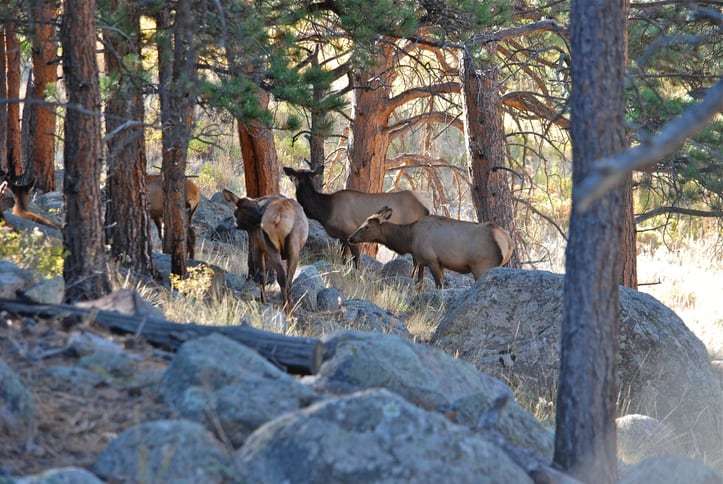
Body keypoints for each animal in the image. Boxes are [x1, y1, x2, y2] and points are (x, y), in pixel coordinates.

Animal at [282, 164, 430, 266]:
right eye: (296, 176)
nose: (292, 179)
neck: (325, 211)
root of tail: (426, 209)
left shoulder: (350, 232)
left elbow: (356, 261)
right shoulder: (342, 238)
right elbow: (343, 258)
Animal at [350, 207, 516, 288]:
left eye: (366, 226)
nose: (350, 238)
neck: (409, 240)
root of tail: (508, 242)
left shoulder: (432, 259)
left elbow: (439, 285)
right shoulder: (422, 261)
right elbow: (419, 282)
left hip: (482, 266)